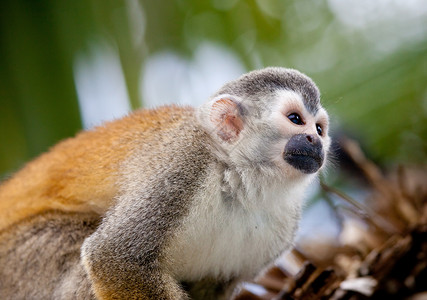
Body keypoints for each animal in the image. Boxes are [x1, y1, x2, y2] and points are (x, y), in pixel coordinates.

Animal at [0, 68, 332, 300]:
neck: (241, 181)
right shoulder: (182, 167)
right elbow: (114, 258)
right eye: (295, 119)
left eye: (319, 128)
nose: (315, 141)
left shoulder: (284, 226)